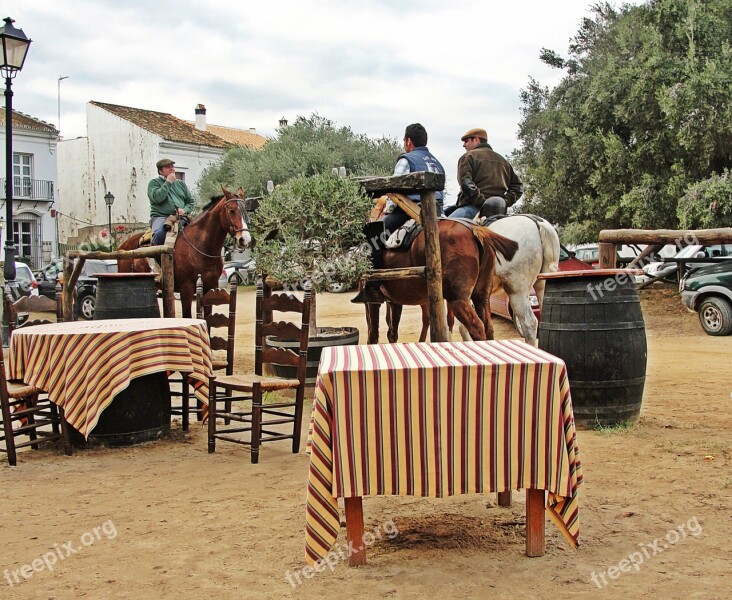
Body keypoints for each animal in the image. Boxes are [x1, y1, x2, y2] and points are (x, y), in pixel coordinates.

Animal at [116, 186, 250, 318]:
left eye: (245, 211)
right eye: (232, 210)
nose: (244, 239)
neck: (199, 247)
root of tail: (123, 245)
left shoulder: (211, 287)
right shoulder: (186, 290)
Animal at [364, 219, 516, 342]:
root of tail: (475, 229)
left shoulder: (373, 302)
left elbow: (373, 334)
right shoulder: (394, 302)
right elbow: (392, 333)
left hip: (457, 299)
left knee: (477, 327)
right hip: (480, 297)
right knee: (487, 327)